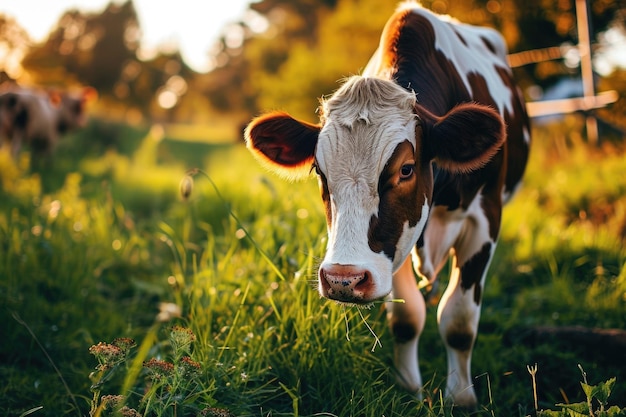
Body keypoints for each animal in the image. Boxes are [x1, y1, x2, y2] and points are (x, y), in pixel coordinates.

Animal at [243, 0, 528, 406]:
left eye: (406, 169)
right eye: (319, 171)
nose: (343, 279)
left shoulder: (484, 220)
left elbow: (458, 321)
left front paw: (461, 398)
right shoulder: (395, 249)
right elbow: (407, 320)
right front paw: (408, 388)